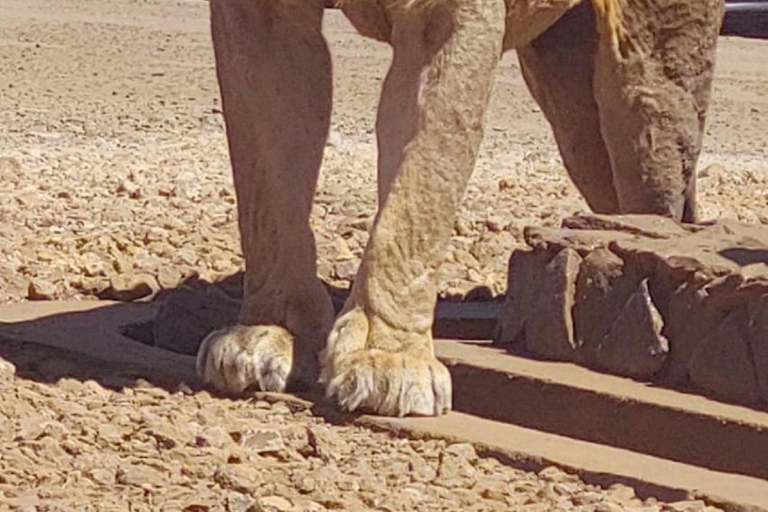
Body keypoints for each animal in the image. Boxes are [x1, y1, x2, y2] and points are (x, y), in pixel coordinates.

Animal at [195, 0, 724, 416]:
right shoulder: (261, 16)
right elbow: (268, 193)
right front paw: (271, 331)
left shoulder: (448, 19)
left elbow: (419, 192)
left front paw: (389, 359)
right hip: (570, 99)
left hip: (646, 85)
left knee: (662, 198)